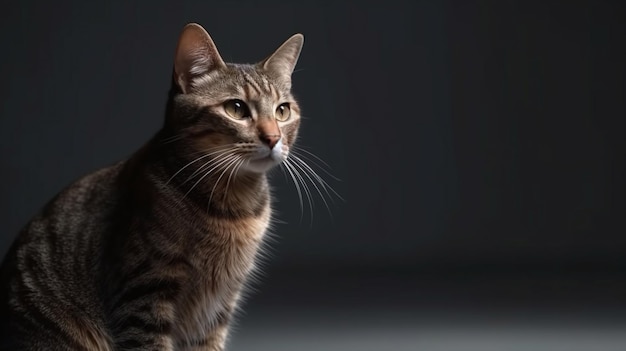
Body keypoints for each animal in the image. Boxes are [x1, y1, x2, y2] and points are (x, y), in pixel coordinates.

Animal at [0, 23, 304, 350]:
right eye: (236, 108)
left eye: (283, 111)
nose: (273, 138)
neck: (234, 203)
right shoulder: (145, 294)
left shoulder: (218, 307)